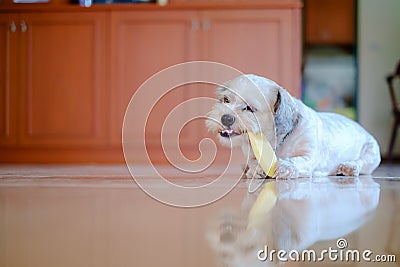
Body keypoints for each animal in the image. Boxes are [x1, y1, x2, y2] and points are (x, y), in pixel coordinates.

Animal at [206, 75, 382, 180]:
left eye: (249, 108)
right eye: (226, 100)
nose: (225, 117)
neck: (276, 140)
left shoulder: (309, 155)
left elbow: (296, 160)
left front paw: (285, 167)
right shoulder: (252, 154)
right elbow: (254, 162)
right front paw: (256, 169)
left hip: (371, 154)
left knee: (361, 163)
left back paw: (349, 167)